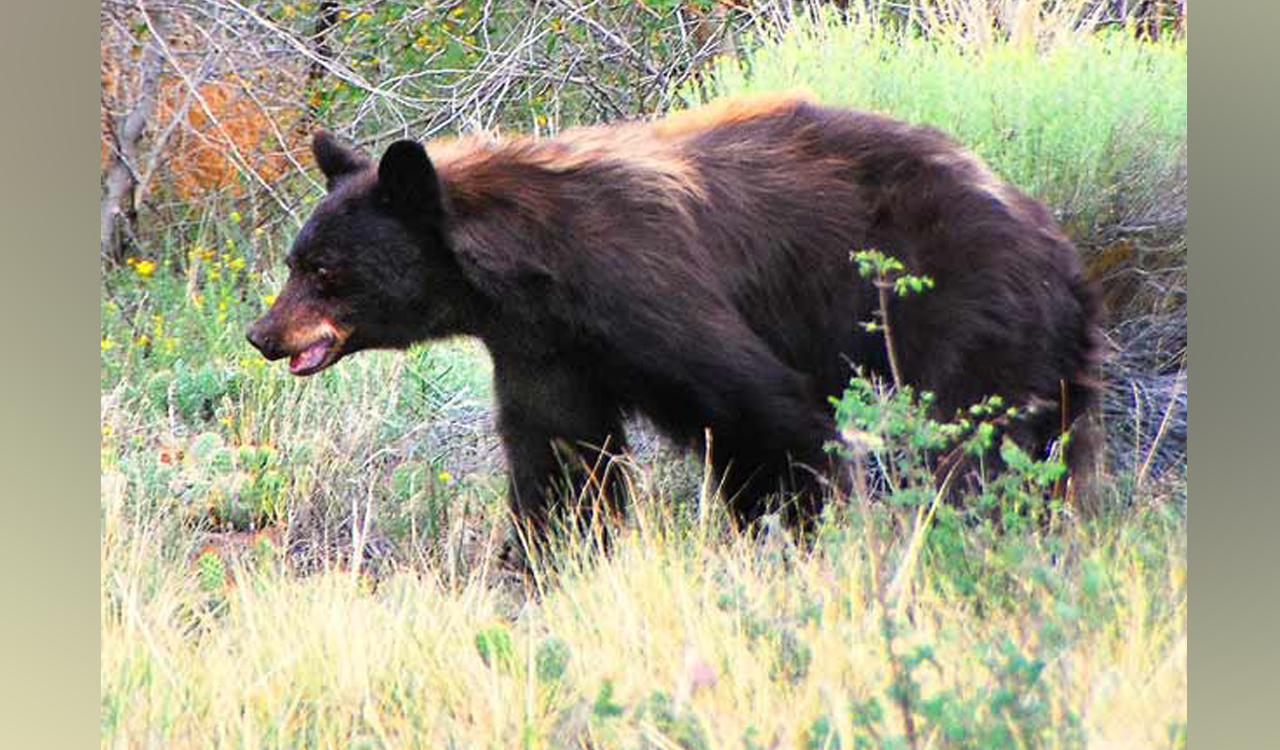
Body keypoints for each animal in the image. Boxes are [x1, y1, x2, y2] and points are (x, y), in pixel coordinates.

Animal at [247, 93, 1101, 555]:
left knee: (973, 436)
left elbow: (762, 411)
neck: (535, 269)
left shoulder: (650, 290)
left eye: (324, 270)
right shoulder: (544, 347)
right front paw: (542, 557)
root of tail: (1057, 244)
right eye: (294, 259)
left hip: (961, 303)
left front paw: (787, 535)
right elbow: (560, 458)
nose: (262, 335)